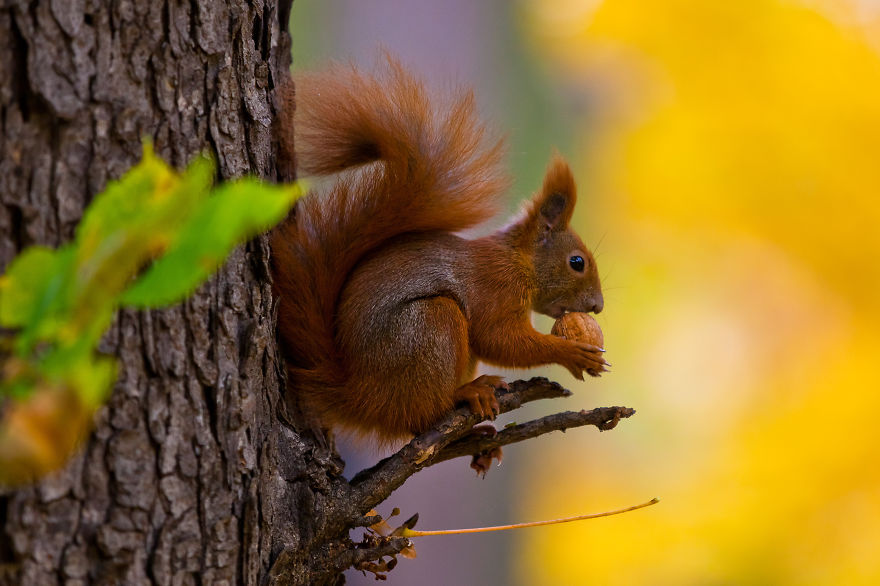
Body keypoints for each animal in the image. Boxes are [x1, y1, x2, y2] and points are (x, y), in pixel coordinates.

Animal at [270, 59, 607, 445]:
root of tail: (362, 396)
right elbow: (498, 340)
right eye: (577, 262)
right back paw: (465, 393)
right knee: (423, 410)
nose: (598, 306)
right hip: (430, 326)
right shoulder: (496, 289)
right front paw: (571, 353)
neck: (518, 261)